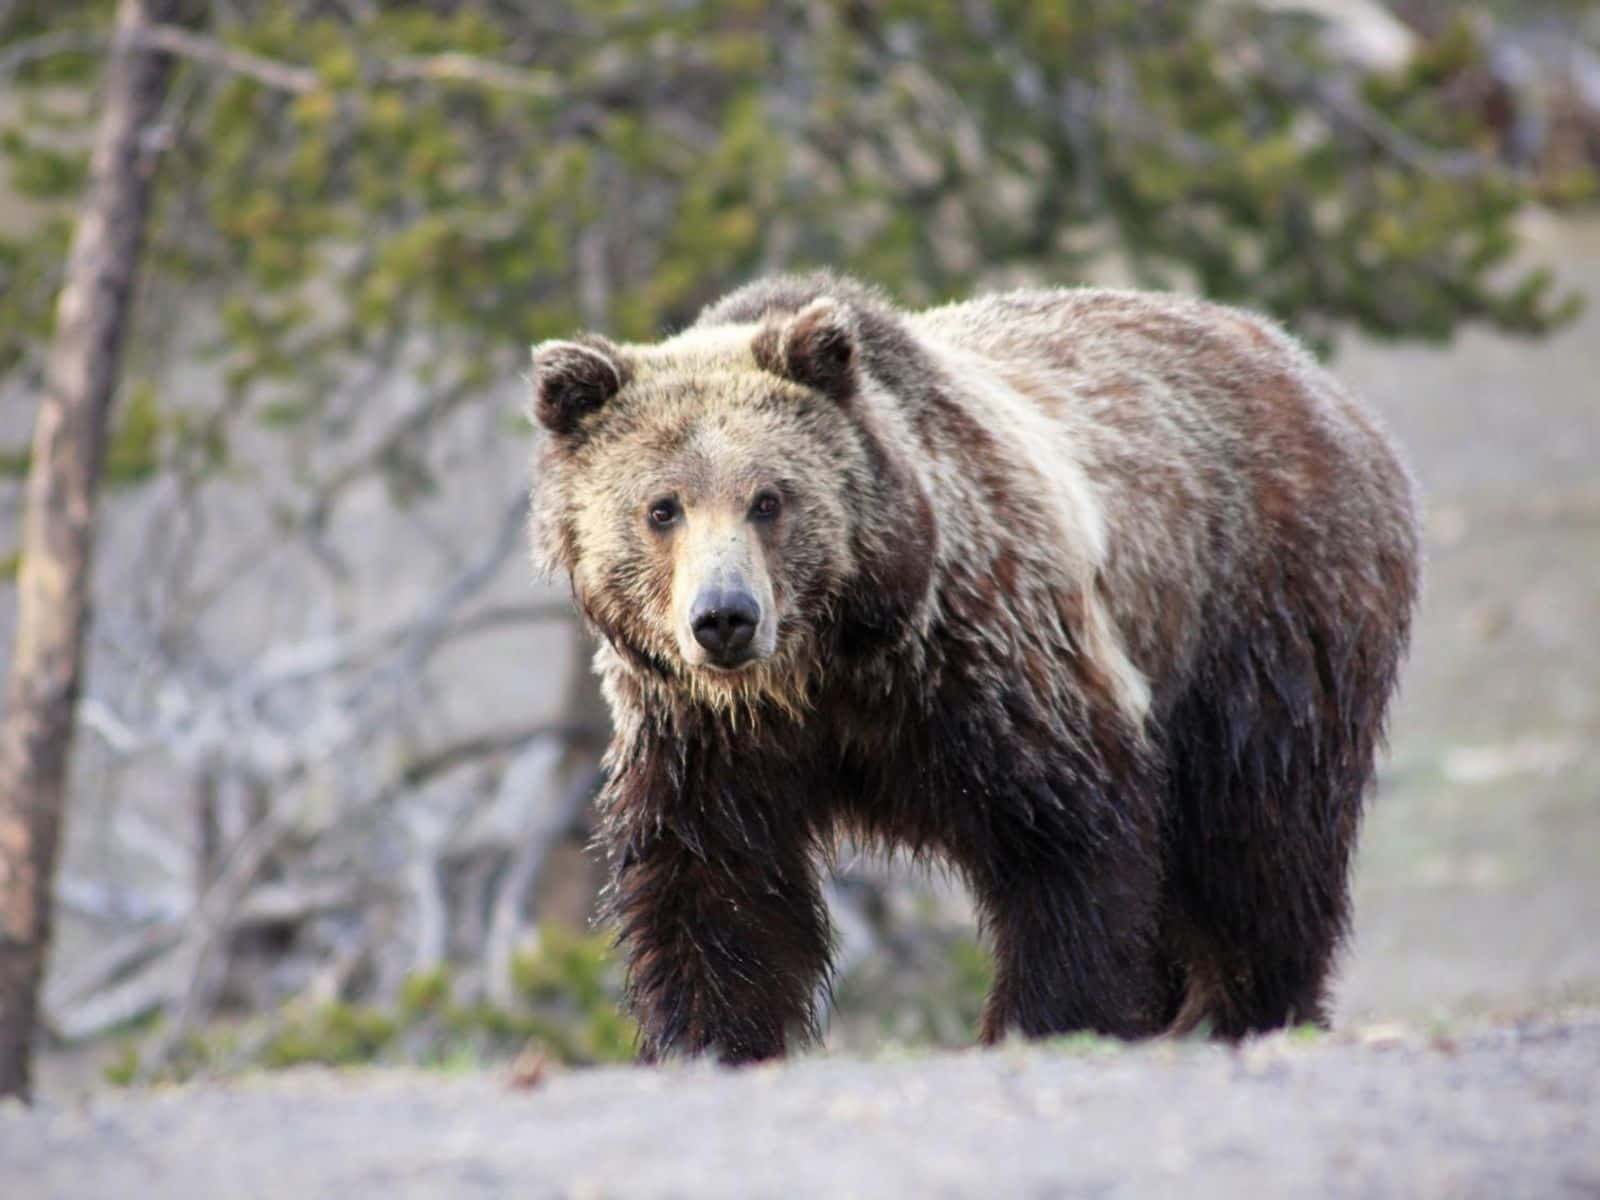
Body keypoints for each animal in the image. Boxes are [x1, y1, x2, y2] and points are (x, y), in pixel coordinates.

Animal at [528, 272, 1419, 1064]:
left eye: (770, 499)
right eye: (661, 508)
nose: (724, 617)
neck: (830, 668)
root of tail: (1318, 377)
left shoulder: (991, 666)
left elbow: (1069, 850)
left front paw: (1045, 1020)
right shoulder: (708, 739)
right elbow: (717, 891)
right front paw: (711, 1039)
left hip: (1262, 621)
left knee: (1260, 841)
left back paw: (1247, 1008)